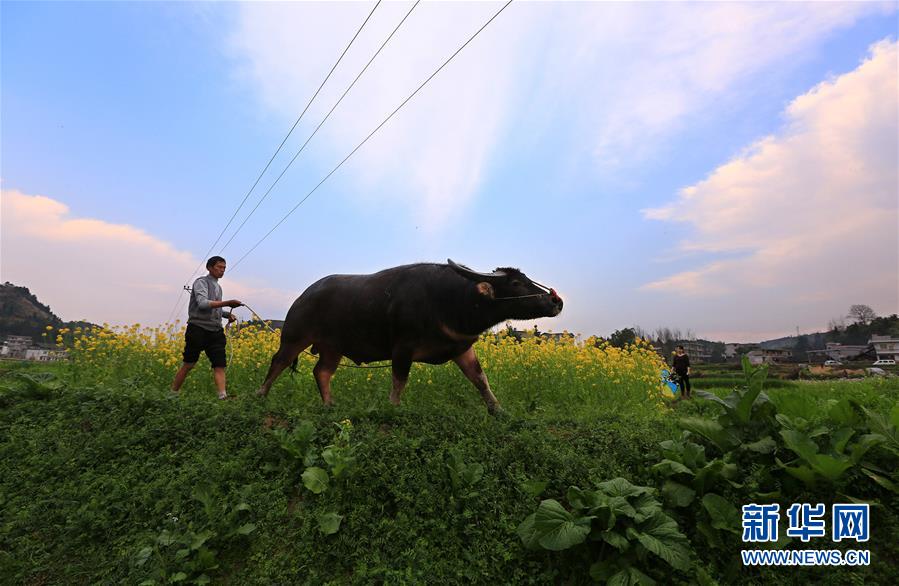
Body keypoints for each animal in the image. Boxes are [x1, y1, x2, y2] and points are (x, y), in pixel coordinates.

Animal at [255, 258, 564, 412]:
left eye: (527, 279)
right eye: (515, 283)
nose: (555, 301)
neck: (451, 300)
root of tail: (304, 295)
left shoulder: (462, 348)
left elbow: (480, 379)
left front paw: (497, 409)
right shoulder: (402, 348)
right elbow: (399, 381)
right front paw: (393, 408)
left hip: (333, 347)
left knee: (322, 372)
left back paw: (330, 405)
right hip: (295, 335)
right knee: (278, 362)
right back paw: (260, 396)